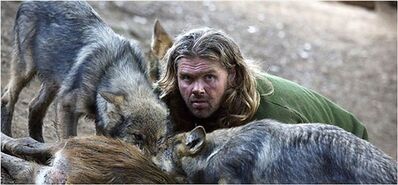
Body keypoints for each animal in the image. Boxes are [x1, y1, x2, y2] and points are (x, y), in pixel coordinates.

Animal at [0, 1, 169, 153]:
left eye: (159, 139)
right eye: (137, 136)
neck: (110, 70)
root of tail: (27, 2)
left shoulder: (101, 124)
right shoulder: (66, 105)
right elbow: (69, 139)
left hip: (54, 83)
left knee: (35, 106)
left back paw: (37, 142)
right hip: (26, 71)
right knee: (8, 97)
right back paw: (8, 135)